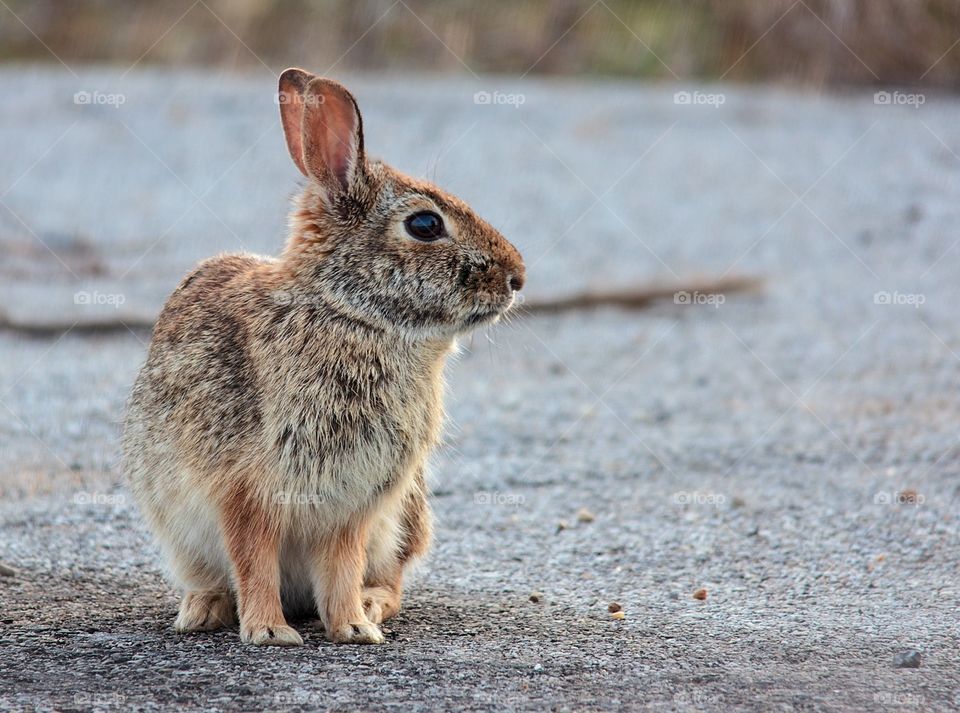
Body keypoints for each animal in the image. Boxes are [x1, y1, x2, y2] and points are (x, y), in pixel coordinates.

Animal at [122, 68, 525, 646]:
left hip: (404, 513)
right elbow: (253, 560)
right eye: (425, 225)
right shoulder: (246, 491)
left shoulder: (355, 503)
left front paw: (353, 627)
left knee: (391, 576)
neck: (349, 314)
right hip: (177, 529)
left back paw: (371, 604)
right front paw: (270, 632)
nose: (518, 277)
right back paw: (203, 608)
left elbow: (340, 566)